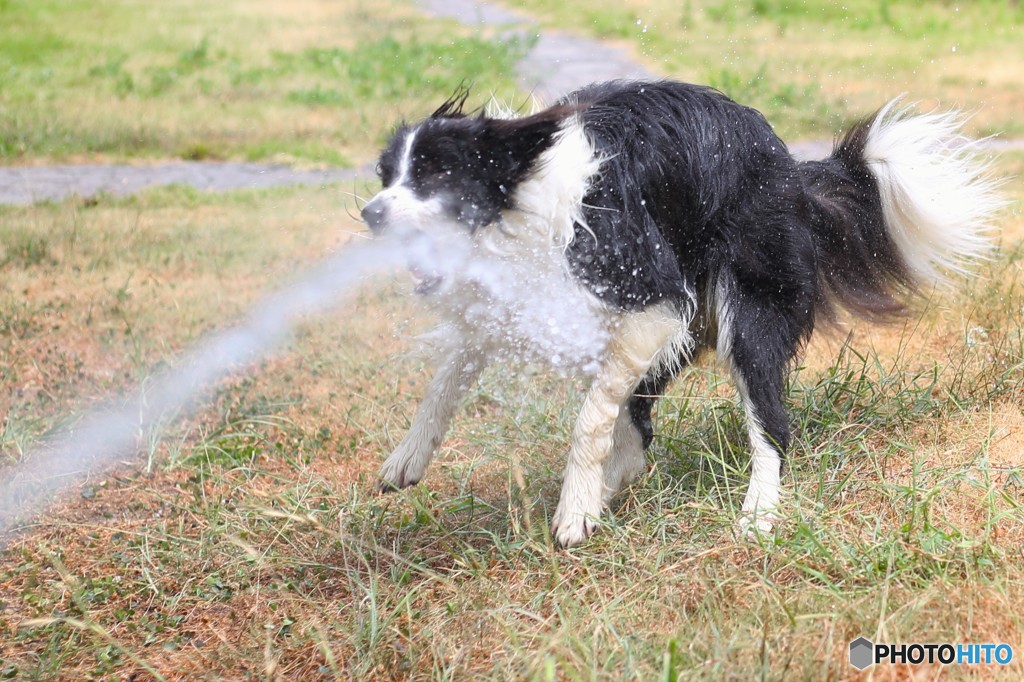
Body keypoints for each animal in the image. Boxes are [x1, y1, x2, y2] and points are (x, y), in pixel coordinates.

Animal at [360, 80, 999, 548]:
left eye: (436, 174)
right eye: (389, 175)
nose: (369, 213)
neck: (522, 203)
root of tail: (793, 172)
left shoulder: (649, 296)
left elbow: (589, 417)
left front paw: (573, 512)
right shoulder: (515, 297)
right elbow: (447, 378)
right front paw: (406, 459)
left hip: (745, 311)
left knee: (770, 424)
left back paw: (756, 515)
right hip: (689, 327)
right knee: (641, 423)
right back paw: (614, 487)